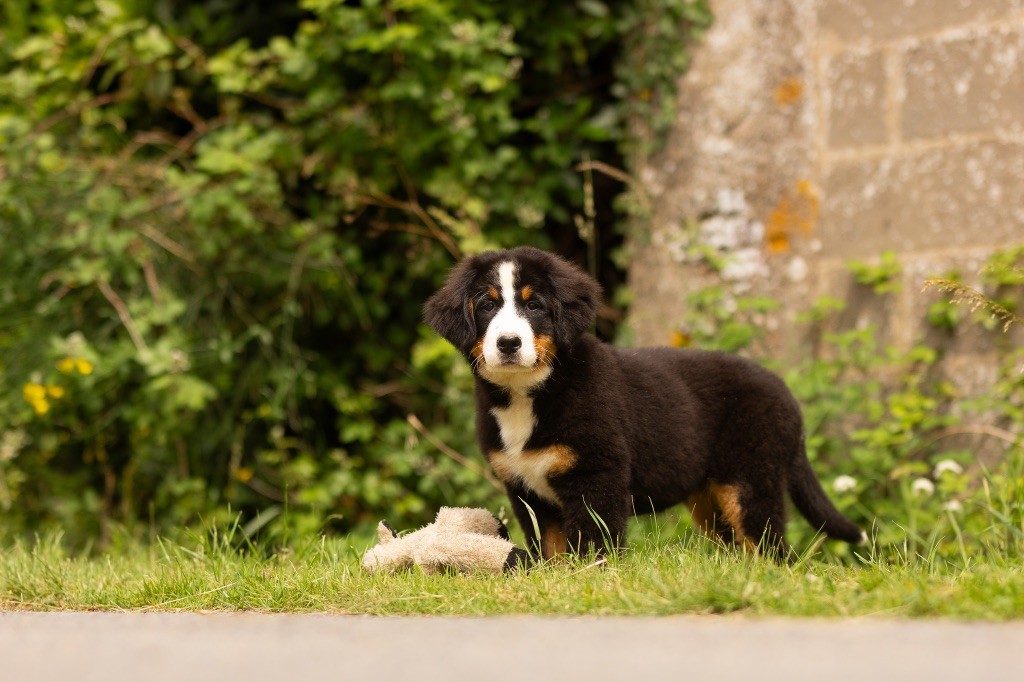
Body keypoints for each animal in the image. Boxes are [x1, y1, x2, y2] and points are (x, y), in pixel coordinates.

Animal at [423, 244, 864, 557]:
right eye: (486, 305)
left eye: (534, 305)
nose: (508, 343)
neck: (528, 394)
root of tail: (785, 392)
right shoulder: (525, 490)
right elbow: (551, 552)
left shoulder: (597, 477)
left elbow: (593, 547)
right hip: (711, 499)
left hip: (750, 481)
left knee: (772, 550)